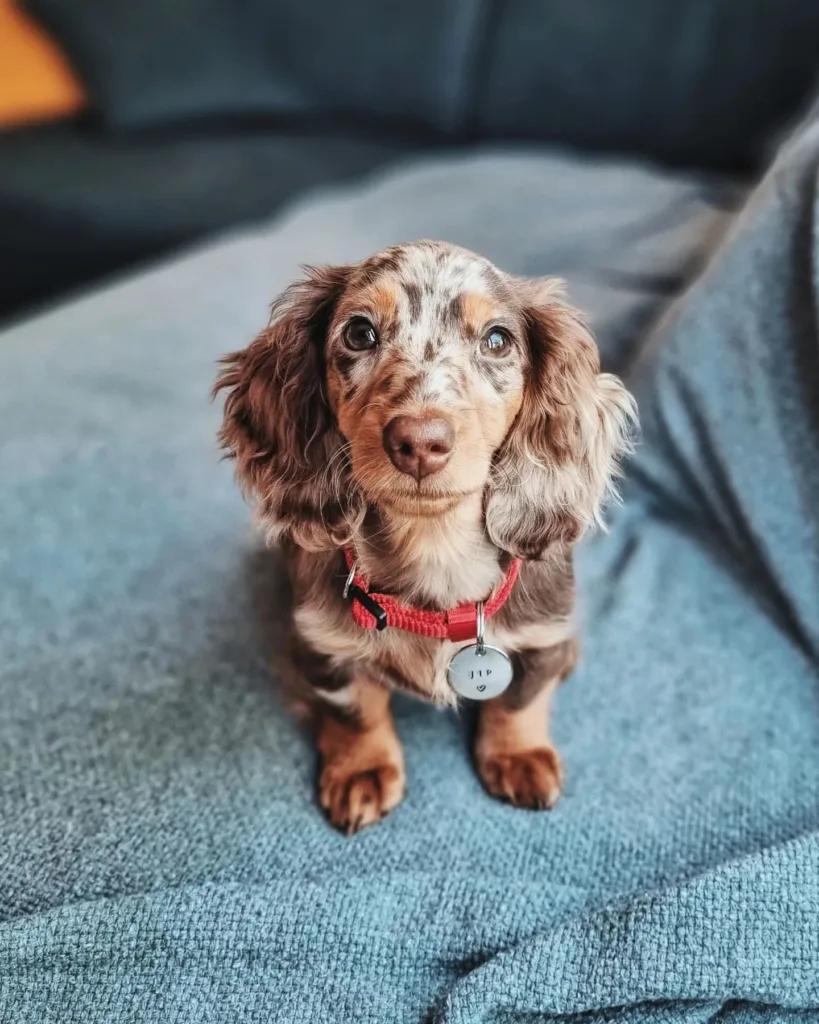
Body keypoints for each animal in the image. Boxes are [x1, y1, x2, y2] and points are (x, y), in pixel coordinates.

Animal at [212, 239, 634, 831]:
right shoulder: (321, 644)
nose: (420, 441)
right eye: (359, 332)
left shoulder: (545, 630)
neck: (438, 549)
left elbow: (519, 698)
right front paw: (362, 768)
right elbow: (355, 708)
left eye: (497, 340)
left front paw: (519, 754)